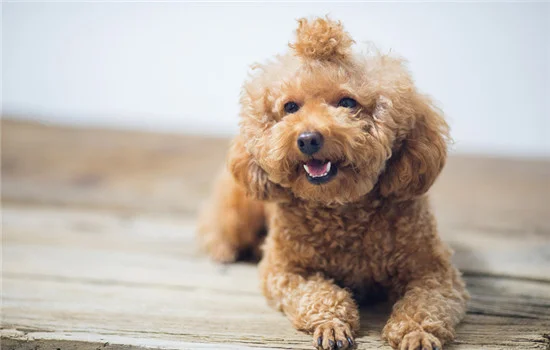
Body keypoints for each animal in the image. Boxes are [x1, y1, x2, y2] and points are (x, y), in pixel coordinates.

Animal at [198, 17, 470, 350]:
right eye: (290, 107)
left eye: (348, 102)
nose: (308, 139)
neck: (341, 209)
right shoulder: (286, 271)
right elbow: (319, 294)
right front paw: (331, 325)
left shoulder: (434, 270)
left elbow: (425, 304)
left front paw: (417, 333)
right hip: (241, 205)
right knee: (219, 222)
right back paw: (223, 249)